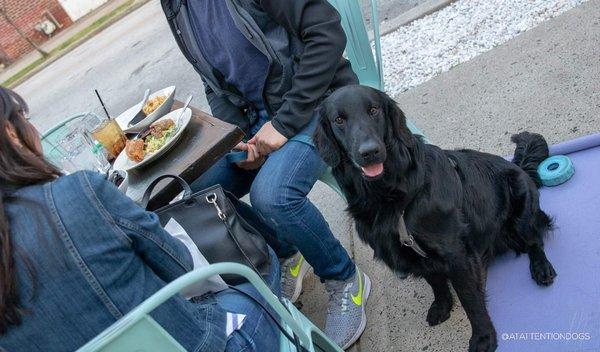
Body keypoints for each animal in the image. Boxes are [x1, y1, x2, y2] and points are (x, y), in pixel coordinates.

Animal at [314, 85, 556, 352]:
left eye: (374, 110)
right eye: (339, 120)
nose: (370, 152)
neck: (392, 197)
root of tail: (521, 168)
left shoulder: (457, 254)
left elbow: (471, 301)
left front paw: (483, 337)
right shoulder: (416, 253)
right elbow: (435, 283)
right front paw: (442, 306)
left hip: (522, 209)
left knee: (535, 240)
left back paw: (541, 267)